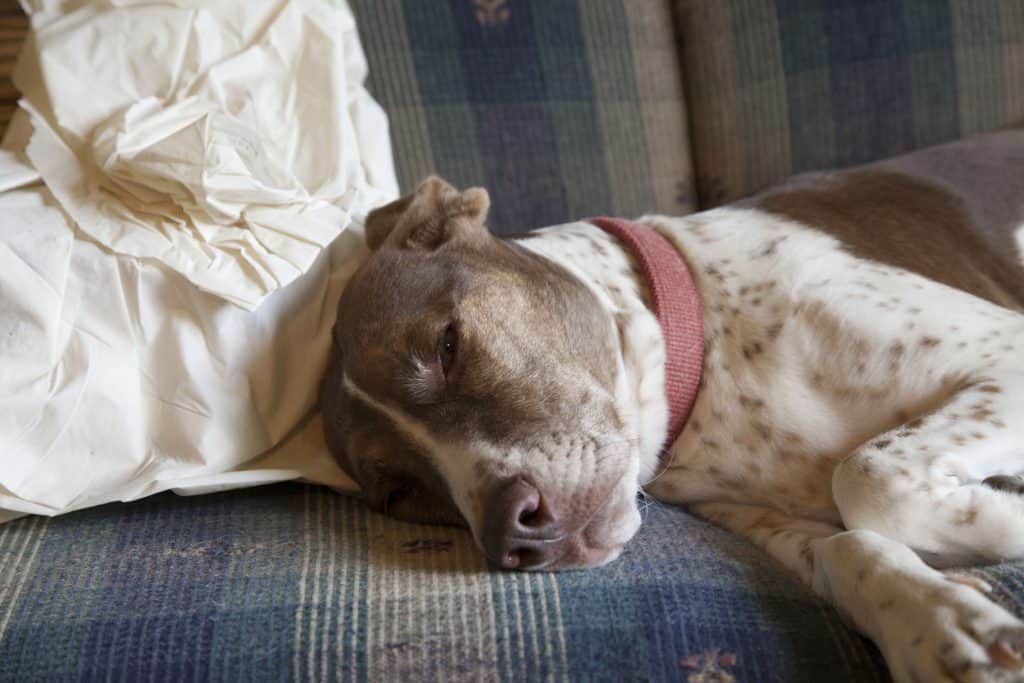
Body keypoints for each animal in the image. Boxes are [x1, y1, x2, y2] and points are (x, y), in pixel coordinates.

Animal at [319, 131, 1024, 679]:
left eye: (447, 345)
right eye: (403, 495)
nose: (507, 533)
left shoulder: (1007, 353)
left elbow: (864, 475)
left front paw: (1005, 516)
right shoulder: (755, 515)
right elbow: (848, 548)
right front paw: (944, 625)